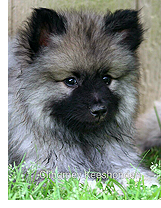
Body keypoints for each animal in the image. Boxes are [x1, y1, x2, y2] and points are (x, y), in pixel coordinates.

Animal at [8, 8, 158, 186]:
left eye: (106, 79)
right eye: (71, 81)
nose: (99, 110)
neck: (83, 138)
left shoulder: (118, 160)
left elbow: (138, 175)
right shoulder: (47, 167)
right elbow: (84, 183)